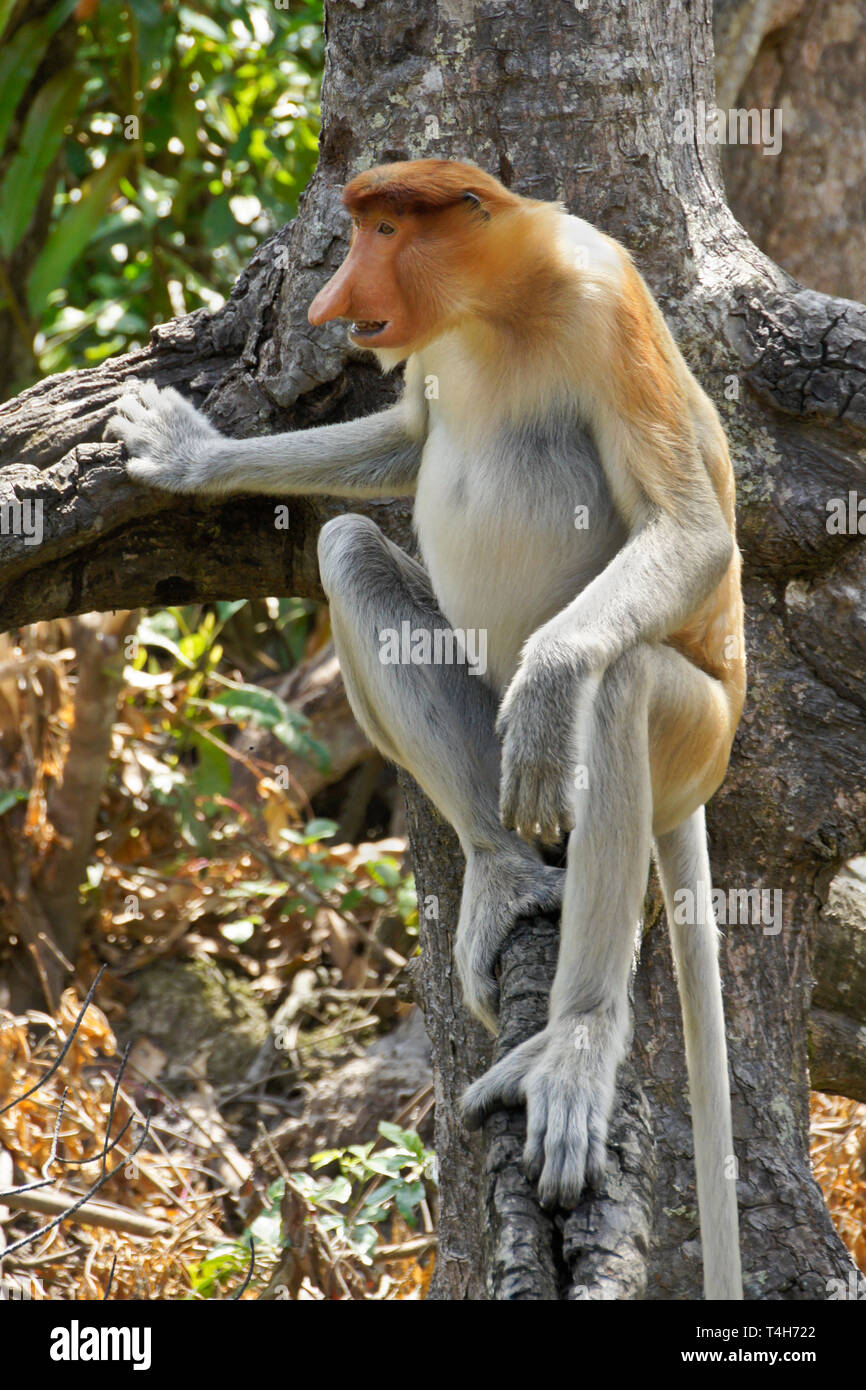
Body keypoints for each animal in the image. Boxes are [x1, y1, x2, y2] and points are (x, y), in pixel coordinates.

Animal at [106, 158, 746, 1300]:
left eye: (388, 230)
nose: (333, 303)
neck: (496, 308)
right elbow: (408, 443)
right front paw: (190, 455)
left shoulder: (603, 298)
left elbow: (689, 529)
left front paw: (552, 674)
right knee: (352, 549)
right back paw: (502, 872)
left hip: (698, 739)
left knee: (623, 683)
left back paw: (573, 1047)